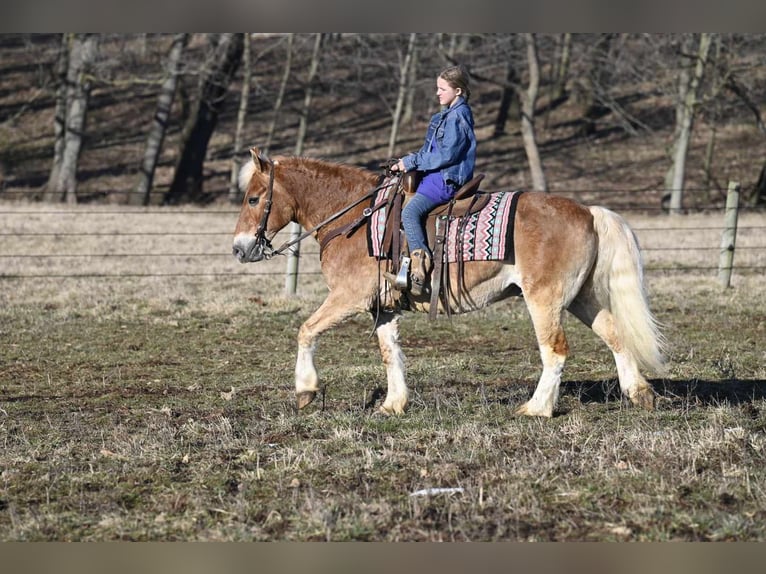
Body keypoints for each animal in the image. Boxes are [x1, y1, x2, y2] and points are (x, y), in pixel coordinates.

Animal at [232, 148, 664, 418]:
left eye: (253, 199)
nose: (239, 248)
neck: (356, 217)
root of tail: (588, 211)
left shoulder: (348, 297)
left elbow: (306, 330)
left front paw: (305, 390)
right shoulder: (382, 307)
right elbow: (390, 353)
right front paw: (393, 404)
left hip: (545, 299)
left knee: (555, 351)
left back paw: (537, 409)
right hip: (582, 298)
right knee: (615, 336)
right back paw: (639, 393)